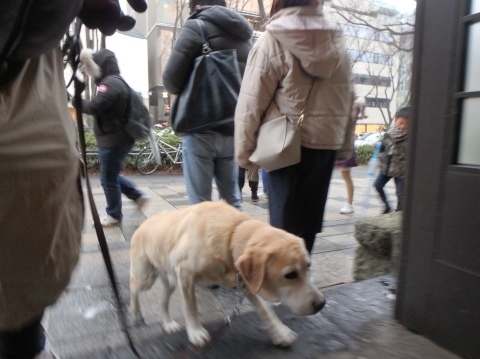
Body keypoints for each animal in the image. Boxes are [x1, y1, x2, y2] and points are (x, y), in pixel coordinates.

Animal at [130, 201, 326, 348]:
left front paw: (280, 332)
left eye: (308, 266)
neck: (231, 234)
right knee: (133, 288)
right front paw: (195, 332)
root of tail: (143, 224)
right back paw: (136, 314)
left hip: (171, 280)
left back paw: (168, 323)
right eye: (291, 274)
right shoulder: (185, 275)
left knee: (163, 301)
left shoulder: (246, 281)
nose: (321, 304)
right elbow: (190, 307)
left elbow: (266, 309)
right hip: (146, 277)